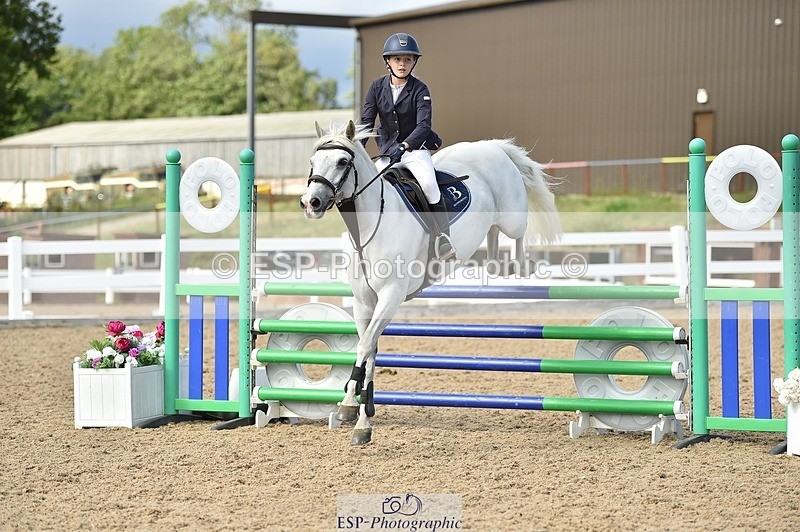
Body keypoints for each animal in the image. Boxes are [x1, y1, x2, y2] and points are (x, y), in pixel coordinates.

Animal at [300, 120, 561, 445]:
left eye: (341, 162)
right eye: (313, 162)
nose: (311, 202)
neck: (368, 226)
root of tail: (492, 146)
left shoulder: (391, 296)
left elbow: (365, 347)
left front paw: (357, 415)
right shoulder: (364, 301)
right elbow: (369, 349)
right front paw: (357, 413)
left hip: (512, 217)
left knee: (517, 232)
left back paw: (521, 264)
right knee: (492, 235)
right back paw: (495, 263)